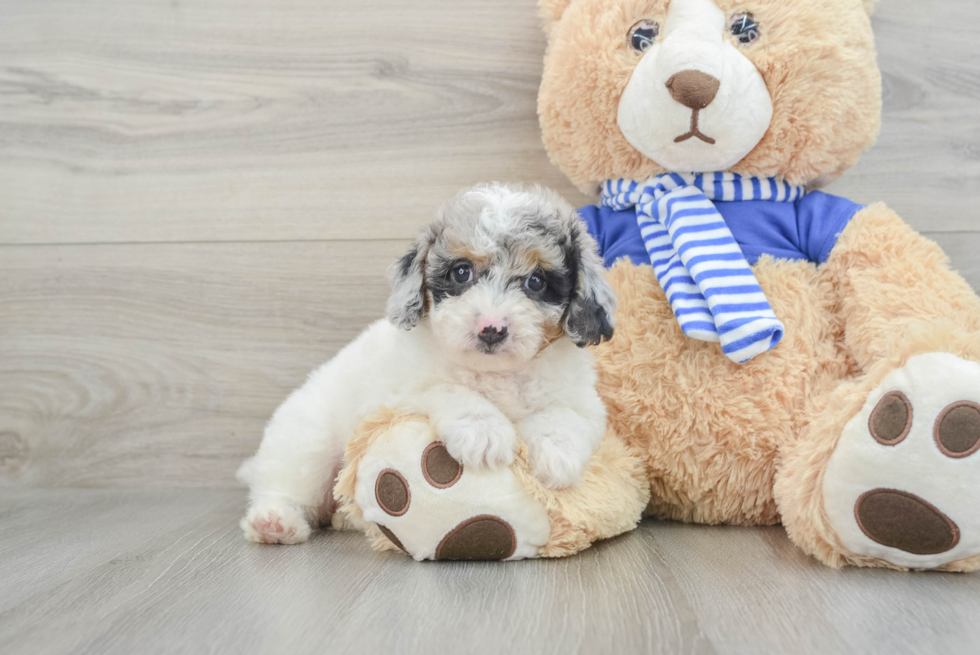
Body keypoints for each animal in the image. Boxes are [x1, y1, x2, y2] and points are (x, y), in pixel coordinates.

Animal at [238, 183, 616, 544]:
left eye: (536, 281)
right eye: (461, 272)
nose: (492, 328)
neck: (495, 374)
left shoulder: (584, 402)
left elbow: (565, 416)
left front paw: (556, 454)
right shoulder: (396, 393)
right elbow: (446, 388)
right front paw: (483, 431)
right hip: (305, 445)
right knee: (285, 486)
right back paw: (275, 522)